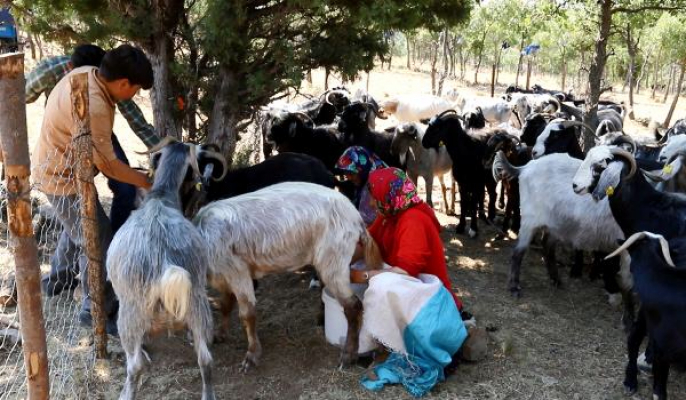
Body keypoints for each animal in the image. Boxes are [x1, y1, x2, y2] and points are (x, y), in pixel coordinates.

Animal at [194, 181, 384, 372]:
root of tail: (355, 216)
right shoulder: (224, 276)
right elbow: (225, 305)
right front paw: (220, 335)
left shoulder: (238, 272)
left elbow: (247, 314)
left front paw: (252, 355)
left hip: (334, 260)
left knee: (353, 306)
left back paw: (348, 355)